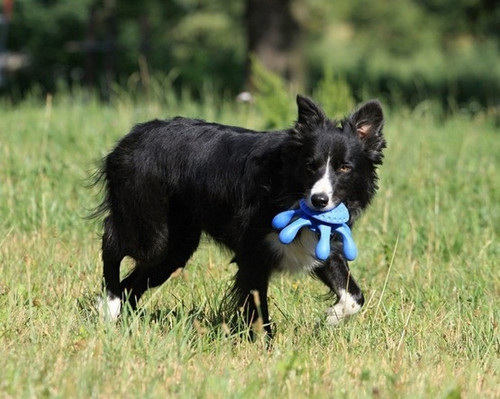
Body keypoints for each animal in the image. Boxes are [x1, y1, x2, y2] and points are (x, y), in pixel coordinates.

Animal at [96, 95, 386, 336]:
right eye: (310, 166)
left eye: (344, 168)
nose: (319, 201)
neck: (285, 186)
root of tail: (132, 136)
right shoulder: (253, 251)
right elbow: (258, 307)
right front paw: (265, 347)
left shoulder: (319, 242)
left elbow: (354, 297)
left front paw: (331, 317)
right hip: (150, 225)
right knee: (113, 242)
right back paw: (110, 306)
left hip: (177, 245)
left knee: (135, 281)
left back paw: (123, 318)